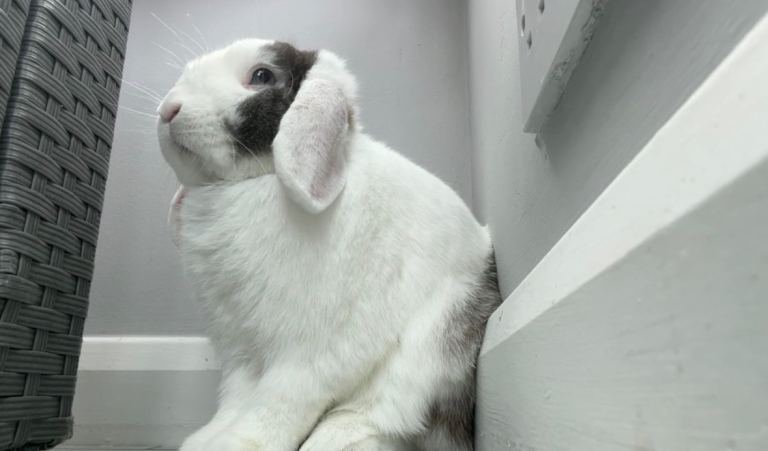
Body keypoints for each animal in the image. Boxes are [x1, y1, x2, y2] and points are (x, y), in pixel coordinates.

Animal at [156, 39, 501, 451]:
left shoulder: (308, 354)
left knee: (380, 415)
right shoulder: (240, 352)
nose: (168, 109)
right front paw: (206, 439)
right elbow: (236, 401)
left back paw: (331, 440)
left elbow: (277, 405)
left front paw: (237, 444)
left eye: (261, 76)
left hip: (431, 348)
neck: (249, 183)